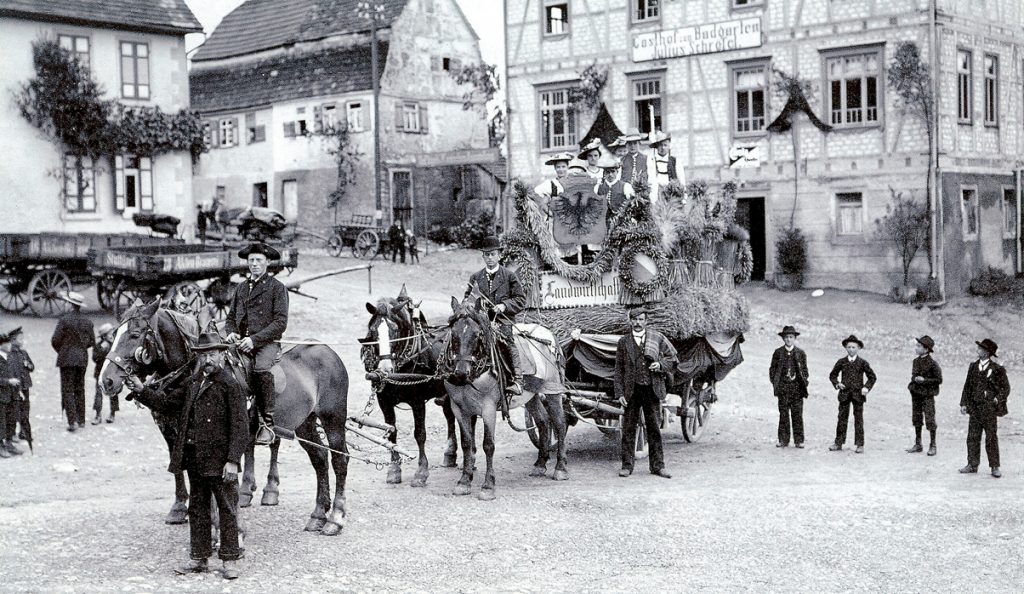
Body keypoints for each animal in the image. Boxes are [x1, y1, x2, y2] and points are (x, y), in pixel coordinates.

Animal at [98, 299, 352, 536]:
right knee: (319, 458)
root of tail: (327, 351)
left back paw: (335, 518)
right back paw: (318, 514)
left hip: (333, 419)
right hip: (304, 423)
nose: (106, 380)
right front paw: (182, 509)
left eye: (135, 334)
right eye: (116, 334)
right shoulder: (172, 430)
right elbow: (179, 467)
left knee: (339, 460)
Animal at [358, 284, 458, 487]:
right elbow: (392, 432)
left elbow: (420, 434)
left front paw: (421, 472)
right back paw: (450, 454)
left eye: (395, 331)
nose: (384, 369)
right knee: (450, 415)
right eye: (373, 332)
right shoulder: (384, 400)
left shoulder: (417, 401)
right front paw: (394, 469)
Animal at [442, 297, 569, 501]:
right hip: (532, 395)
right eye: (453, 333)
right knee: (543, 422)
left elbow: (488, 445)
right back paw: (540, 464)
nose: (461, 373)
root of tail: (548, 334)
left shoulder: (488, 408)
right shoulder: (459, 409)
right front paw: (464, 481)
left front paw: (488, 486)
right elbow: (467, 444)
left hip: (553, 393)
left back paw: (560, 468)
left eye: (477, 335)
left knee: (559, 424)